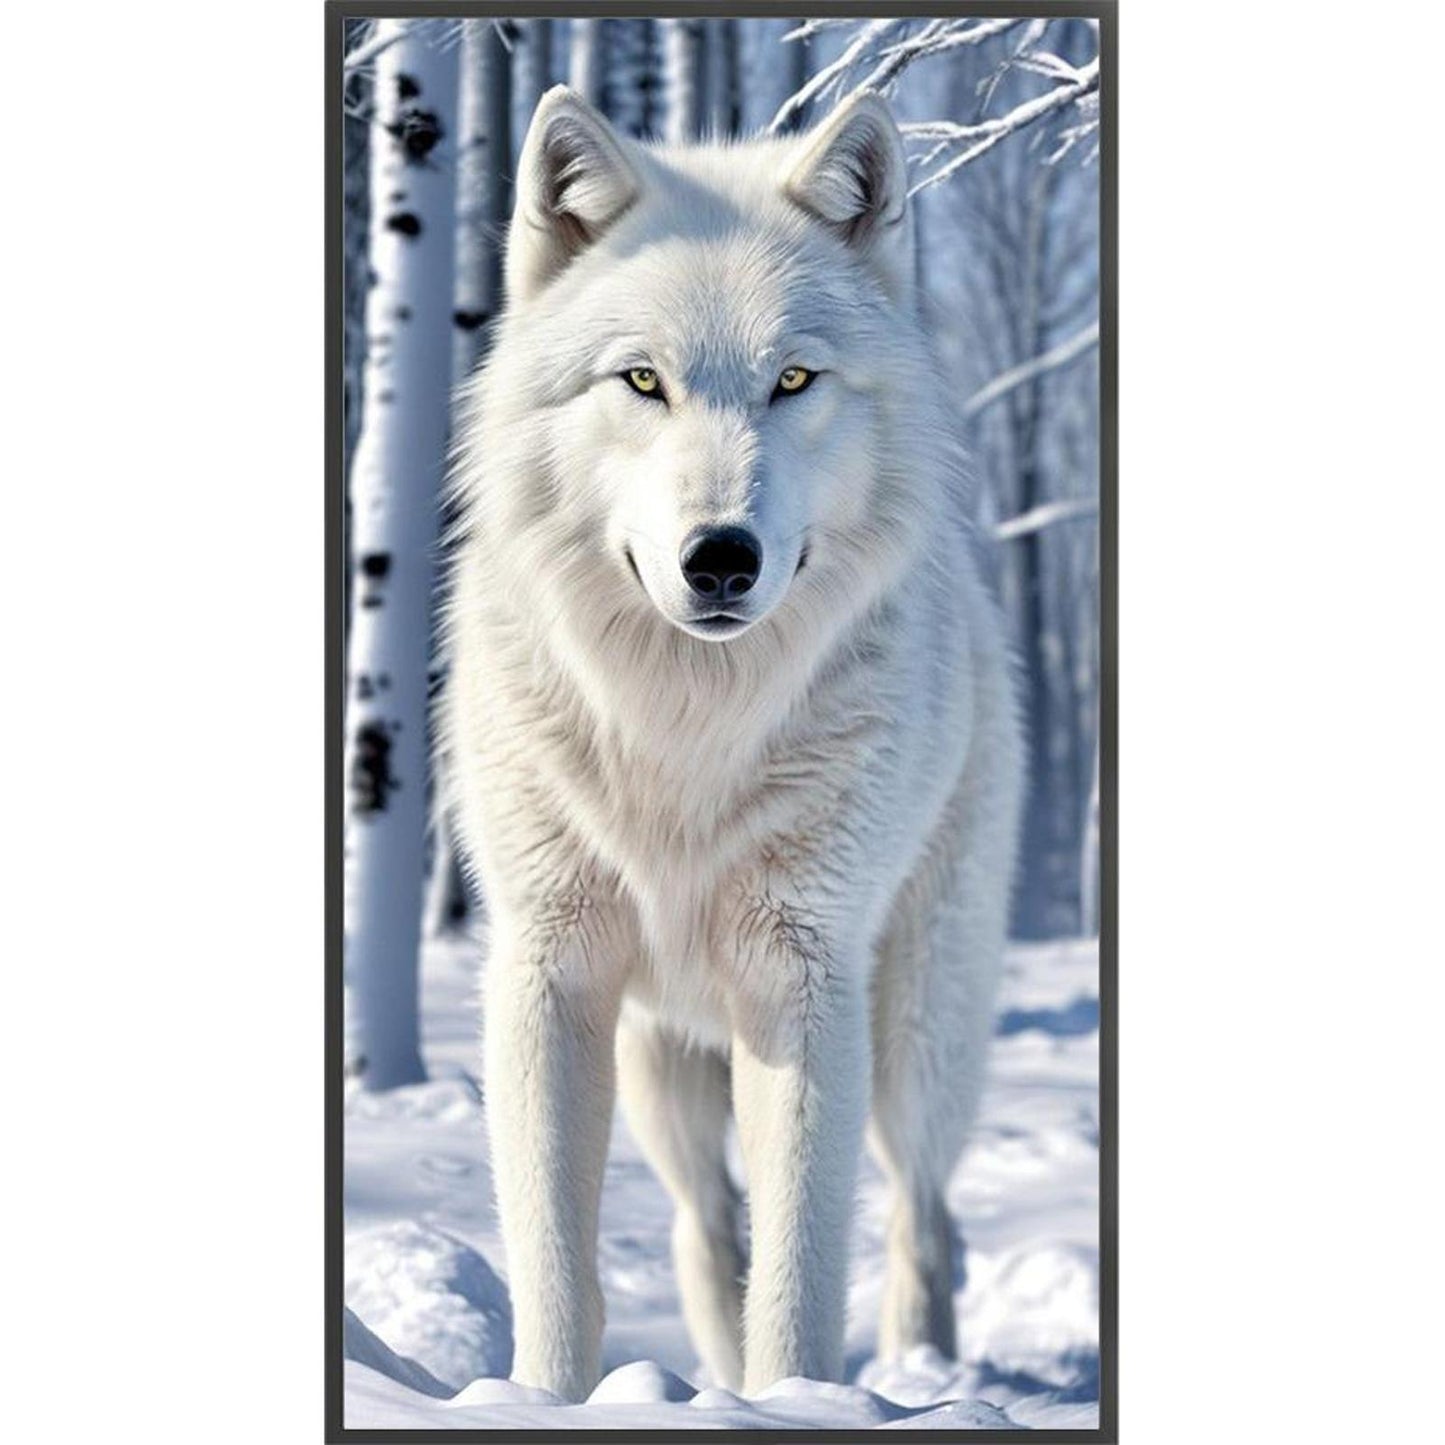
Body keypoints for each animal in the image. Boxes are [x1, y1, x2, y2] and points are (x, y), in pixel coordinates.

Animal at [443, 85, 1024, 1402]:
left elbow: (802, 1270)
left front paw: (799, 1403)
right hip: (663, 1067)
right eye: (641, 381)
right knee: (707, 1232)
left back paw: (919, 1367)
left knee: (922, 1214)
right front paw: (547, 1400)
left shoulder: (802, 977)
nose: (719, 558)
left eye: (793, 379)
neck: (684, 726)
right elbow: (556, 1261)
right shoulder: (548, 970)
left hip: (916, 1025)